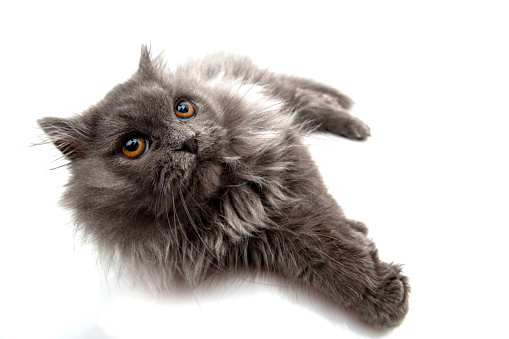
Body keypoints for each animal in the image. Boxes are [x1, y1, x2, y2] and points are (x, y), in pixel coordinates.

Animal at [37, 45, 408, 330]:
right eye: (132, 146)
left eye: (183, 109)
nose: (188, 141)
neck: (224, 196)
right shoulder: (255, 238)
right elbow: (316, 251)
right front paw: (377, 286)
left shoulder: (288, 160)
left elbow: (329, 228)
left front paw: (379, 286)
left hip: (276, 90)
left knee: (310, 98)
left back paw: (353, 123)